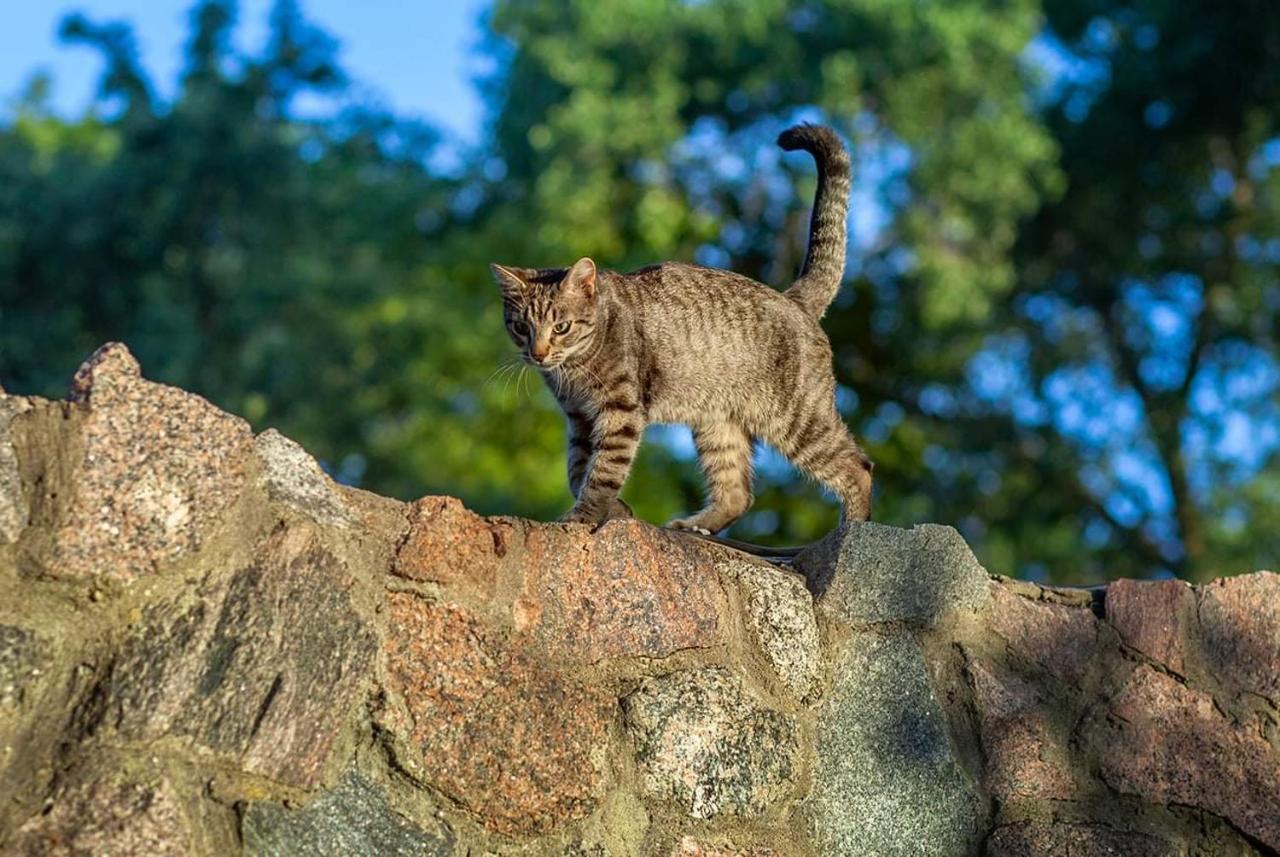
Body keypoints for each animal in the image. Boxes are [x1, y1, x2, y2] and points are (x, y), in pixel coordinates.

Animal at [488, 124, 870, 534]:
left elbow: (602, 472)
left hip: (798, 419)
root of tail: (794, 299)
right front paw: (613, 508)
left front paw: (584, 516)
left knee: (858, 467)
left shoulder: (619, 410)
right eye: (521, 327)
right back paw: (695, 525)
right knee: (737, 493)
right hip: (719, 426)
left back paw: (853, 531)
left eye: (561, 326)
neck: (574, 368)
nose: (538, 354)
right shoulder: (579, 418)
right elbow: (578, 470)